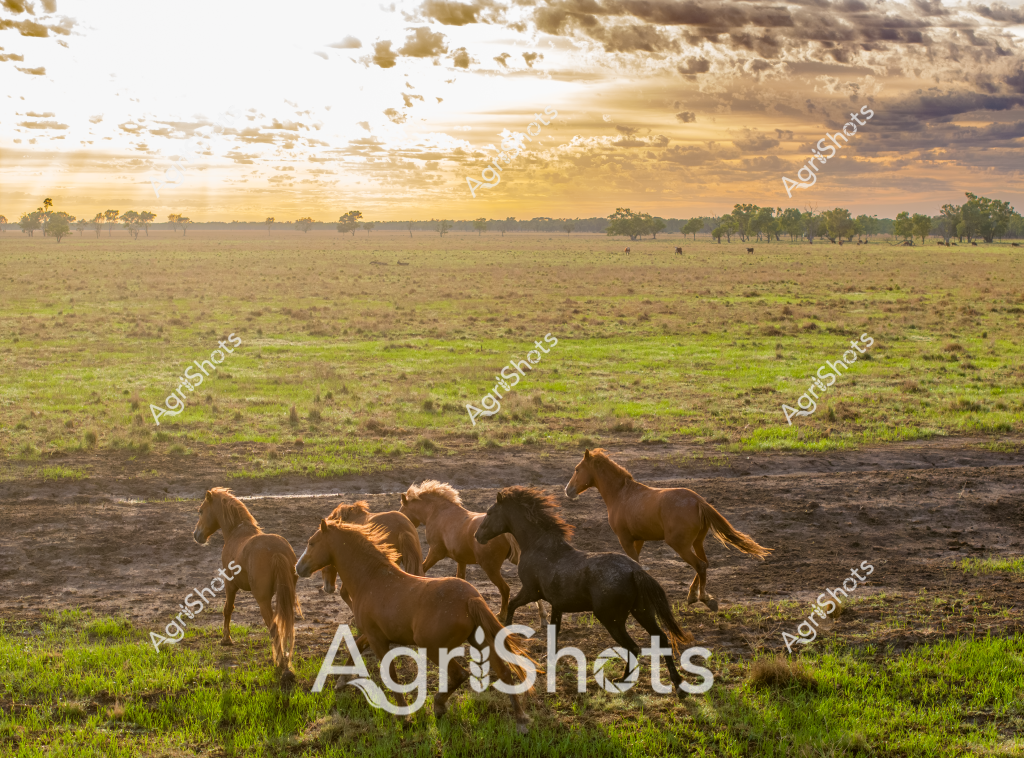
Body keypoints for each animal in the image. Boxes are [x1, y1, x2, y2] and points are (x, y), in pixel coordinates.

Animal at [193, 488, 302, 681]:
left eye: (201, 511)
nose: (196, 535)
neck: (237, 533)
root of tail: (277, 552)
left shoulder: (230, 584)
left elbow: (227, 609)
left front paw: (226, 639)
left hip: (263, 600)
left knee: (274, 627)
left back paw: (281, 664)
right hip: (286, 597)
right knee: (285, 626)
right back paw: (286, 663)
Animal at [296, 520, 534, 730]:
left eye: (311, 542)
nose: (299, 567)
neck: (371, 579)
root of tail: (471, 598)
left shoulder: (378, 639)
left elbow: (390, 675)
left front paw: (404, 718)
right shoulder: (374, 634)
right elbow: (356, 646)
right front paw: (341, 681)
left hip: (434, 648)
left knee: (461, 674)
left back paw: (439, 705)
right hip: (478, 640)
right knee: (504, 671)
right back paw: (521, 719)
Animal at [400, 480, 539, 624]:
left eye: (402, 508)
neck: (439, 512)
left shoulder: (436, 552)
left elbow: (421, 569)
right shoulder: (461, 560)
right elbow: (460, 578)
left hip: (491, 568)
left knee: (505, 589)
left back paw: (501, 615)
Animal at [476, 487, 693, 697]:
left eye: (490, 513)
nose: (477, 536)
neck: (539, 546)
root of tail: (635, 570)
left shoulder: (531, 591)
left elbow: (512, 605)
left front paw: (507, 634)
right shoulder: (556, 604)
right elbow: (554, 629)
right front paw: (550, 657)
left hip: (612, 619)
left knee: (633, 647)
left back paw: (622, 681)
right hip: (642, 612)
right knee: (662, 640)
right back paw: (678, 686)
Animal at [564, 449, 771, 612]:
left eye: (577, 469)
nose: (568, 490)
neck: (621, 495)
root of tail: (698, 501)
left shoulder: (625, 539)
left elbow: (636, 564)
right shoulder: (638, 540)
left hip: (680, 545)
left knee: (700, 565)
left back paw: (703, 598)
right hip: (697, 542)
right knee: (704, 564)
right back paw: (693, 596)